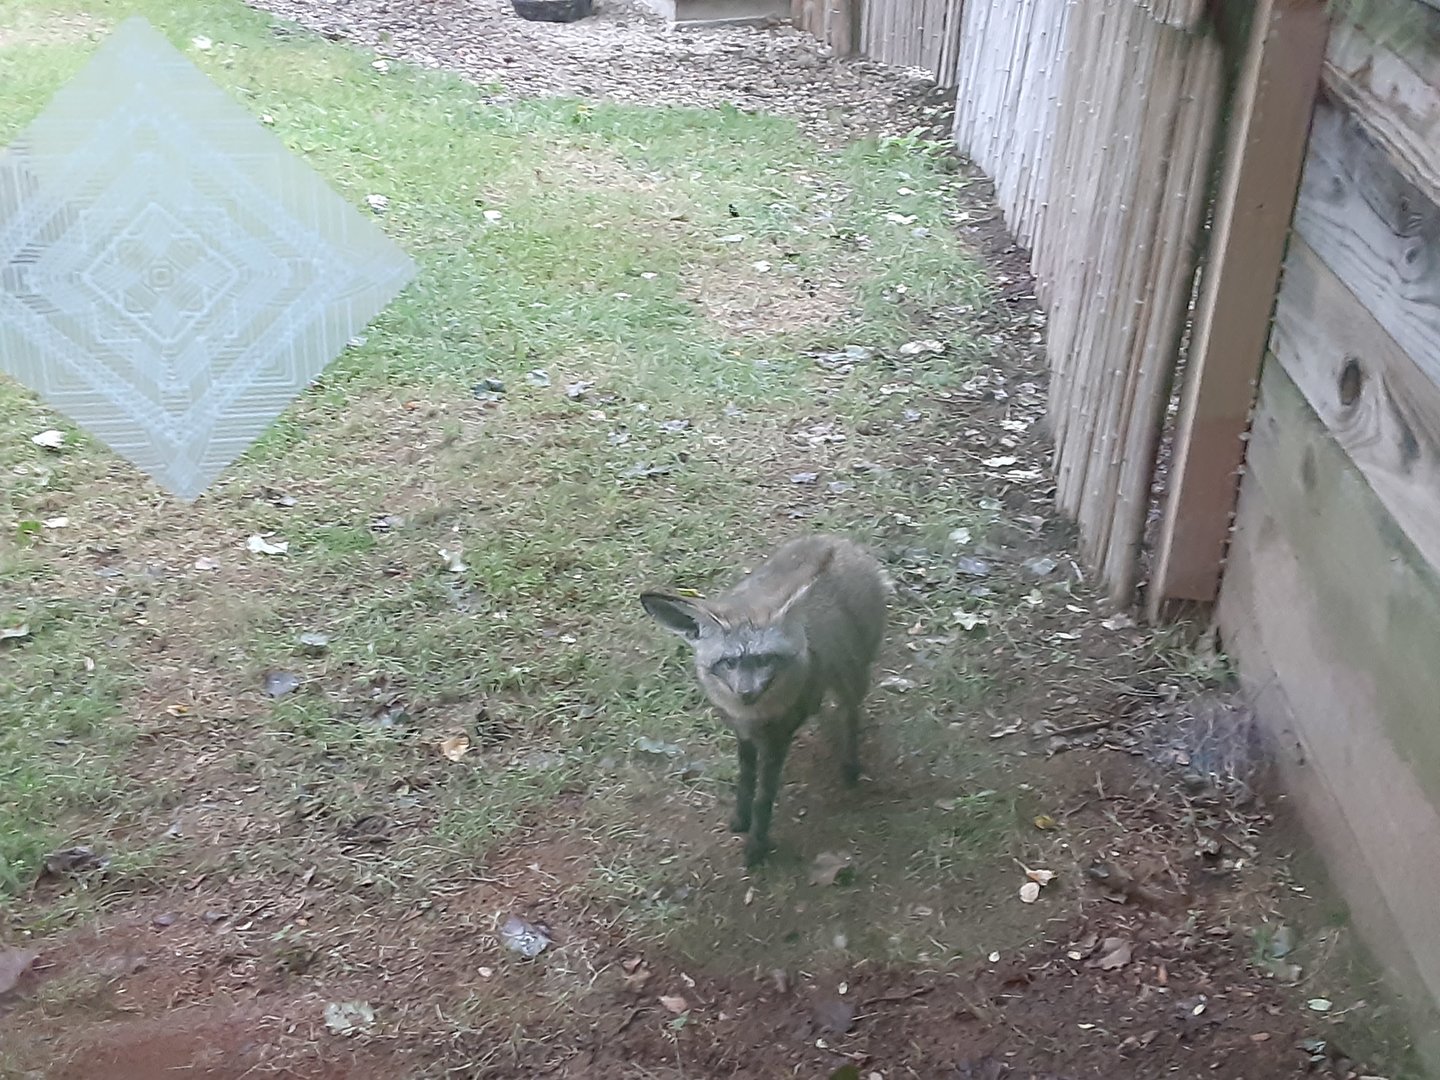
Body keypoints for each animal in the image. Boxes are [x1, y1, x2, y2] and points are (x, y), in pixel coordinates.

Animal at [639, 533, 889, 867]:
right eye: (728, 663)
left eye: (765, 659)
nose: (746, 693)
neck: (755, 716)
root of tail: (837, 540)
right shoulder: (741, 732)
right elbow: (745, 780)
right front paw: (741, 820)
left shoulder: (778, 738)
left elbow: (764, 796)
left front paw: (756, 845)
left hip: (852, 678)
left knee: (850, 715)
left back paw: (850, 766)